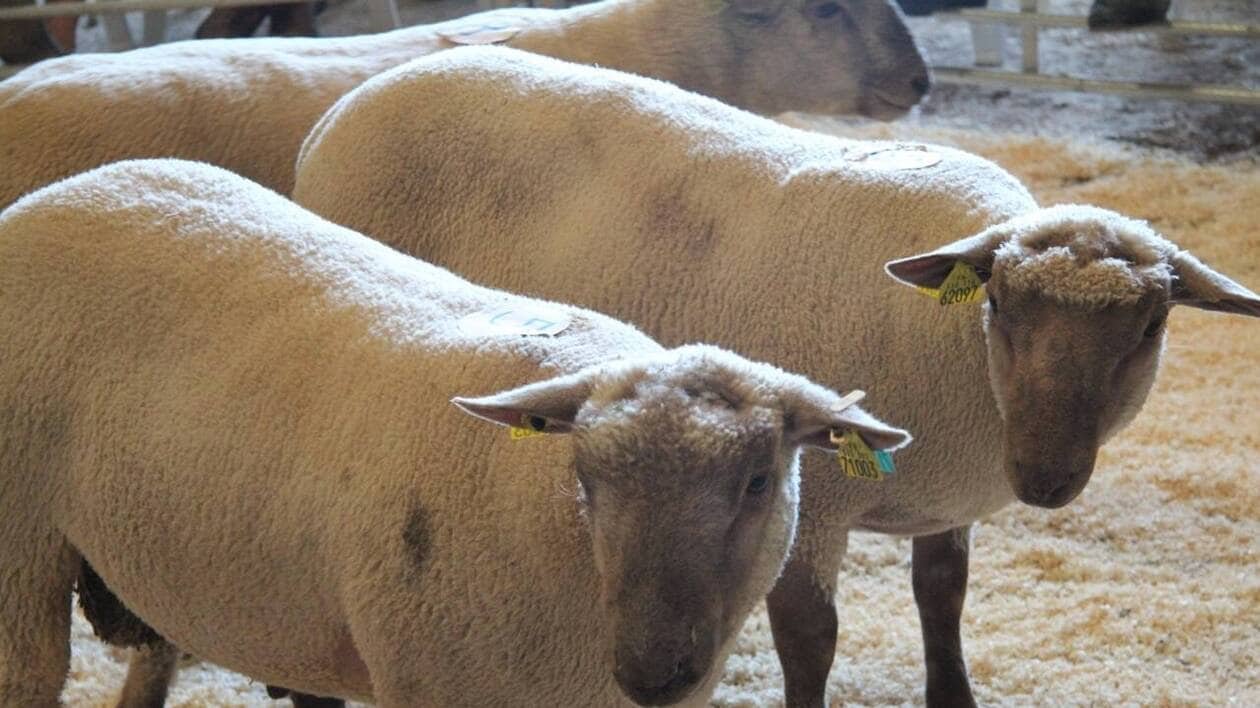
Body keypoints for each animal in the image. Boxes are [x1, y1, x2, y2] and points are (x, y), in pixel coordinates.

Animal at [289, 46, 1260, 707]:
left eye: (1151, 325)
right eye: (1000, 307)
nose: (1048, 479)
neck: (953, 354)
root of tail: (342, 113)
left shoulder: (937, 499)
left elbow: (942, 597)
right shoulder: (814, 498)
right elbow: (810, 641)